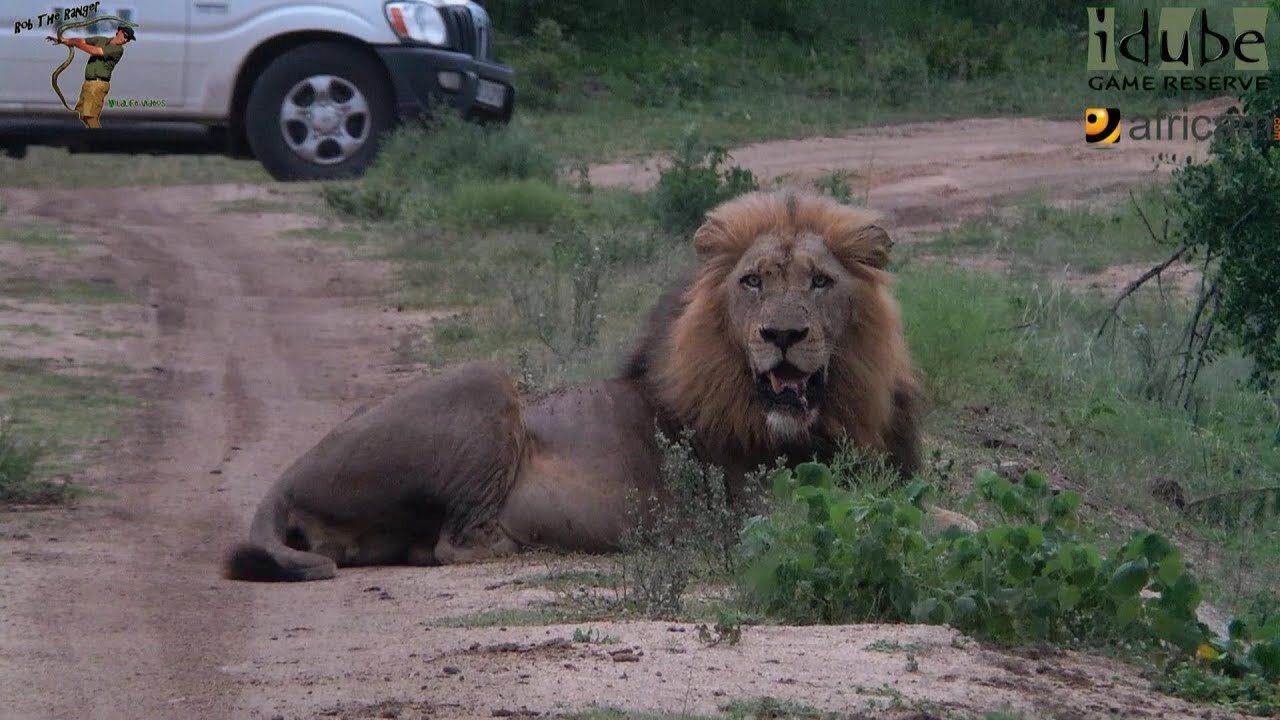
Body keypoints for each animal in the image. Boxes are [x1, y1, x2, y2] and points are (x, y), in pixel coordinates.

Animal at [227, 189, 921, 576]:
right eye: (753, 282)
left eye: (820, 282)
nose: (781, 334)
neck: (835, 412)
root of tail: (286, 476)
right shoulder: (766, 509)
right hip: (484, 381)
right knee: (456, 546)